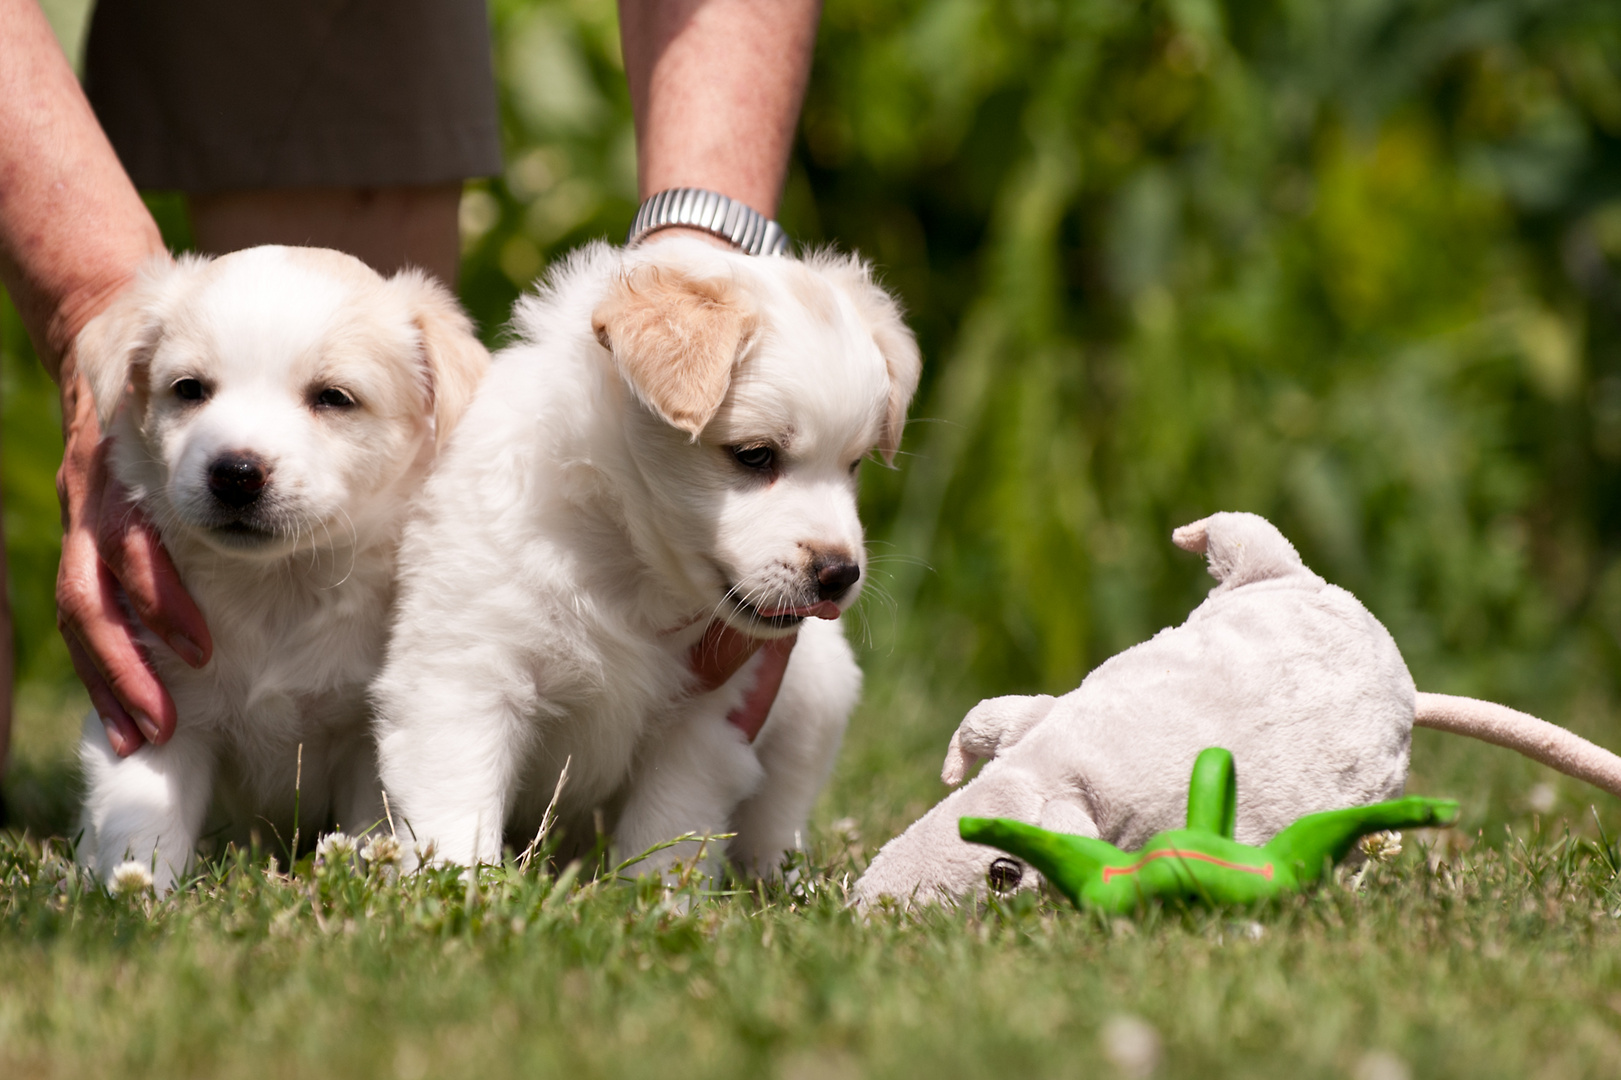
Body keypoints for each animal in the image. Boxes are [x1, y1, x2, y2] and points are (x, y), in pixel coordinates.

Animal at [72, 246, 486, 888]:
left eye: (334, 397)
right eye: (189, 389)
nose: (236, 473)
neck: (276, 586)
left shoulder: (365, 738)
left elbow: (366, 831)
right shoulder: (157, 707)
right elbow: (143, 823)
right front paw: (137, 898)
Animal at [371, 238, 920, 875]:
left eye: (853, 464)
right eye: (755, 455)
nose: (840, 573)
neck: (630, 566)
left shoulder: (705, 722)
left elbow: (668, 836)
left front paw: (657, 897)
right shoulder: (467, 676)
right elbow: (459, 811)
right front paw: (460, 885)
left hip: (816, 707)